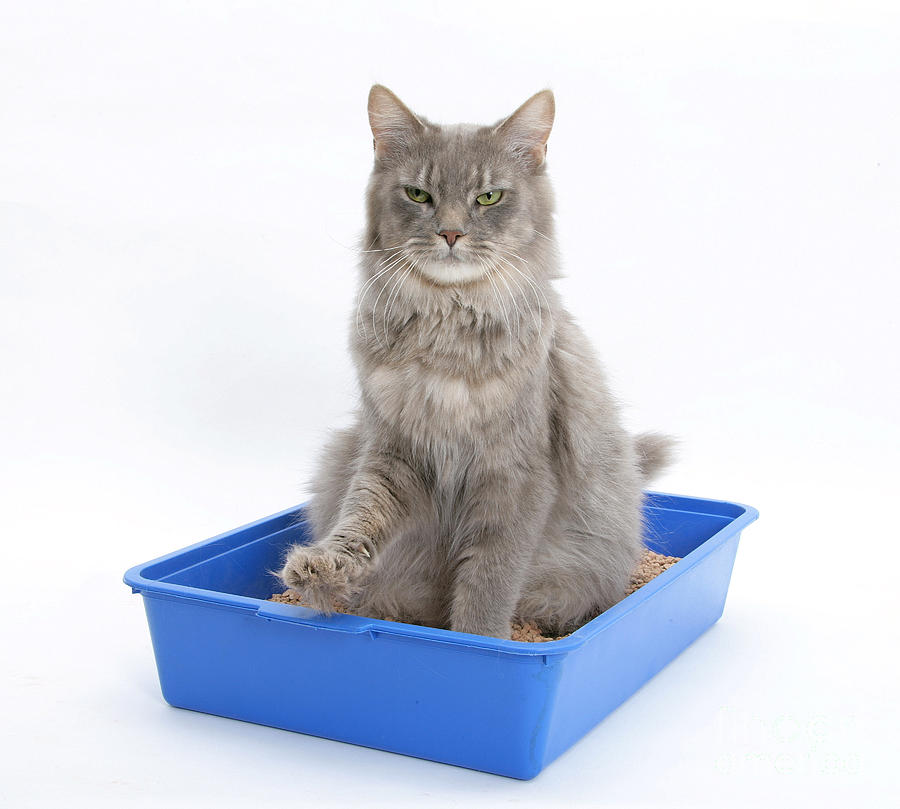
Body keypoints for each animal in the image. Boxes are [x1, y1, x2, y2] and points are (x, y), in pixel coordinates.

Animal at [278, 85, 672, 640]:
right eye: (417, 195)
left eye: (488, 197)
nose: (450, 233)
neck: (447, 325)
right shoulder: (393, 453)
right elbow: (359, 517)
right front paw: (323, 568)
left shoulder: (514, 474)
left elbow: (489, 580)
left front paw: (478, 641)